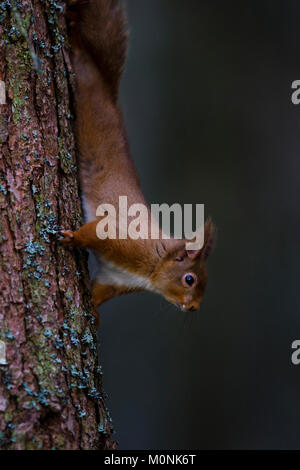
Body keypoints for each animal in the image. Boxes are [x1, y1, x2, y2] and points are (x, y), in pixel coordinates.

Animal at [61, 0, 216, 324]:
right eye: (190, 279)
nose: (194, 308)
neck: (152, 268)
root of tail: (107, 88)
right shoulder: (122, 238)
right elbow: (93, 231)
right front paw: (73, 238)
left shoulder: (114, 279)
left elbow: (99, 292)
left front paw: (94, 314)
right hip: (84, 85)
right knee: (81, 55)